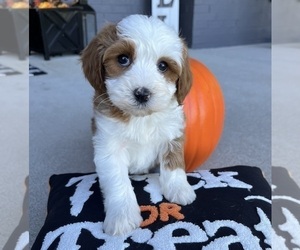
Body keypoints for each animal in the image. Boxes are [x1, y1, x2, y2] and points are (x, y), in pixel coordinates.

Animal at [81, 14, 196, 235]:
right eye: (123, 59)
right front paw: (122, 216)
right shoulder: (109, 147)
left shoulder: (172, 134)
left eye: (163, 66)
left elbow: (173, 164)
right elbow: (118, 181)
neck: (141, 118)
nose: (142, 93)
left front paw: (179, 189)